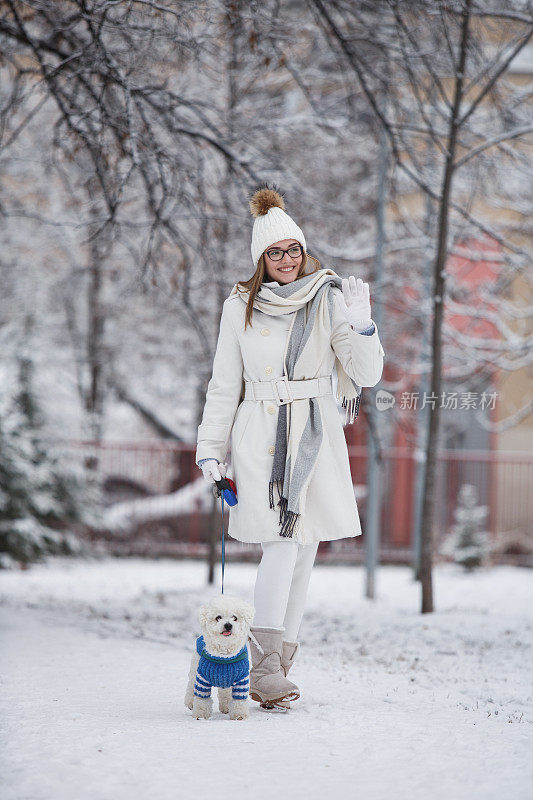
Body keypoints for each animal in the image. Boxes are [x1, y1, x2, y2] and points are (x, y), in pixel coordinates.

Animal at [185, 592, 256, 720]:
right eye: (218, 617)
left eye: (235, 618)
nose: (228, 625)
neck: (224, 655)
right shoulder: (202, 679)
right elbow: (202, 700)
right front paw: (200, 715)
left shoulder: (241, 680)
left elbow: (239, 701)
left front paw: (239, 715)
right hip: (194, 669)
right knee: (191, 687)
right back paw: (190, 702)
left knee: (225, 694)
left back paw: (226, 707)